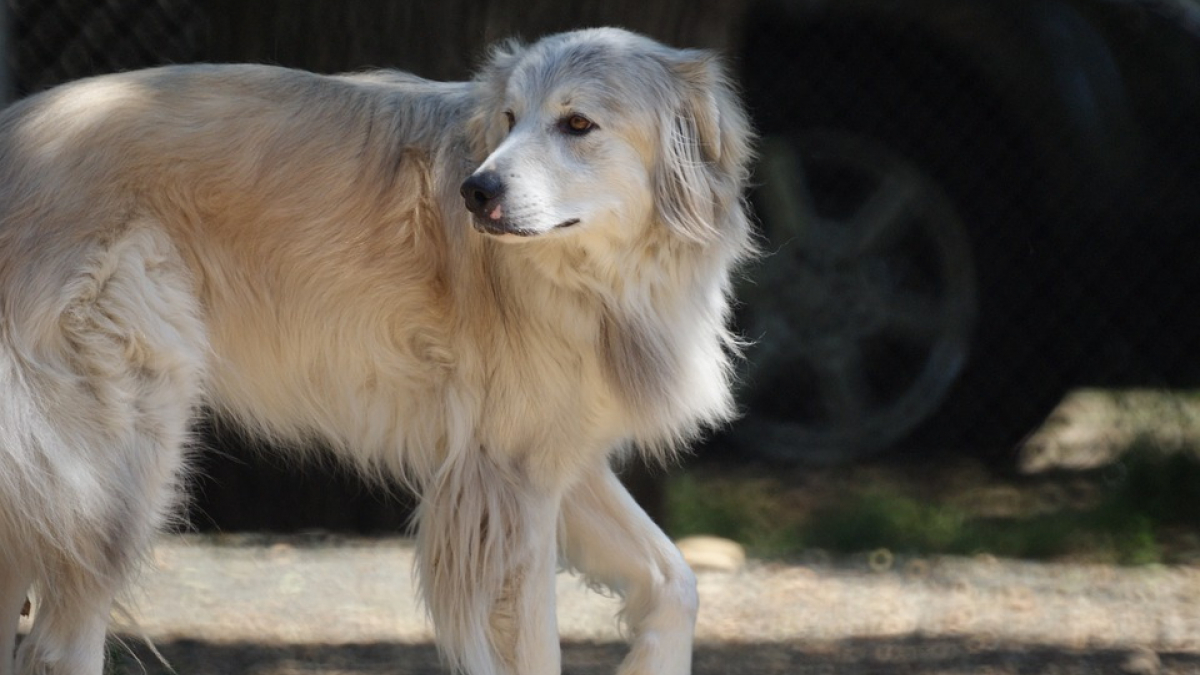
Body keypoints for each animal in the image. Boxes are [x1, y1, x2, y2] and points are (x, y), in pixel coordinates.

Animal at [0, 27, 753, 672]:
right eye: (509, 119)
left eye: (577, 125)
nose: (475, 191)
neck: (598, 277)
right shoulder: (507, 485)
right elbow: (541, 649)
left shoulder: (551, 461)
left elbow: (677, 583)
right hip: (125, 462)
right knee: (60, 647)